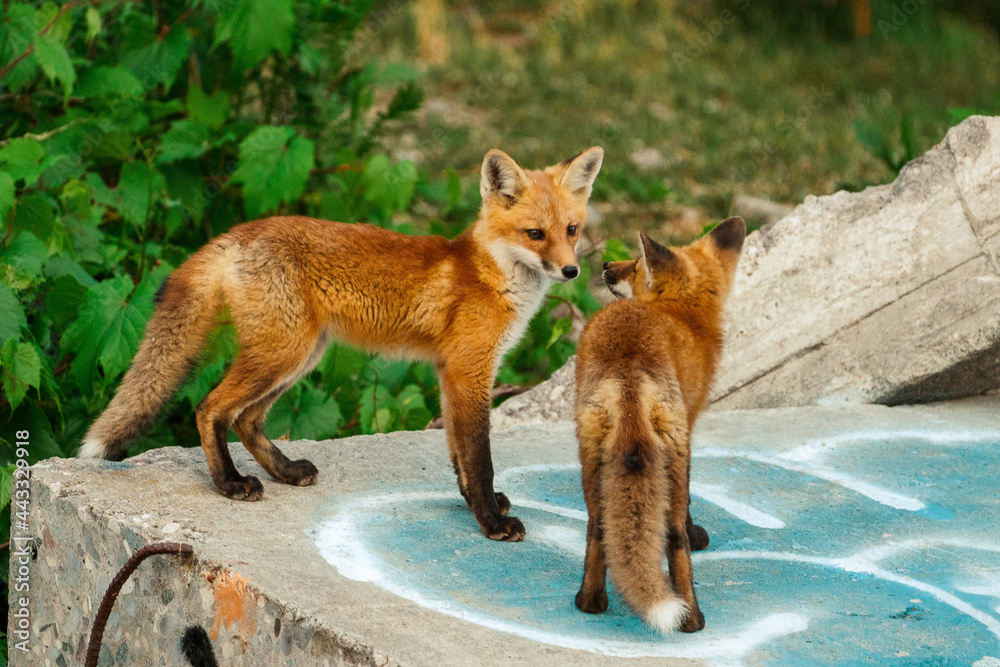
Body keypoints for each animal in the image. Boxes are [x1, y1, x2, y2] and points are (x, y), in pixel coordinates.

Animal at [80, 146, 604, 542]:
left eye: (572, 230)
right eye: (534, 234)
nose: (571, 271)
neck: (490, 275)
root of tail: (243, 231)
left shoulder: (451, 373)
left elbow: (459, 453)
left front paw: (481, 505)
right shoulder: (468, 370)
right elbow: (479, 458)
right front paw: (492, 522)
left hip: (301, 357)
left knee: (246, 419)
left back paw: (285, 471)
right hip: (283, 354)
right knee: (210, 409)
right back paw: (229, 483)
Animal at [573, 217, 746, 632]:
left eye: (635, 265)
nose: (606, 265)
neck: (684, 313)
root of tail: (629, 369)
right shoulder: (690, 426)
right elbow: (687, 509)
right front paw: (699, 535)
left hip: (593, 452)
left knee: (599, 526)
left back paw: (594, 603)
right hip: (668, 452)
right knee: (673, 536)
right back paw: (689, 618)